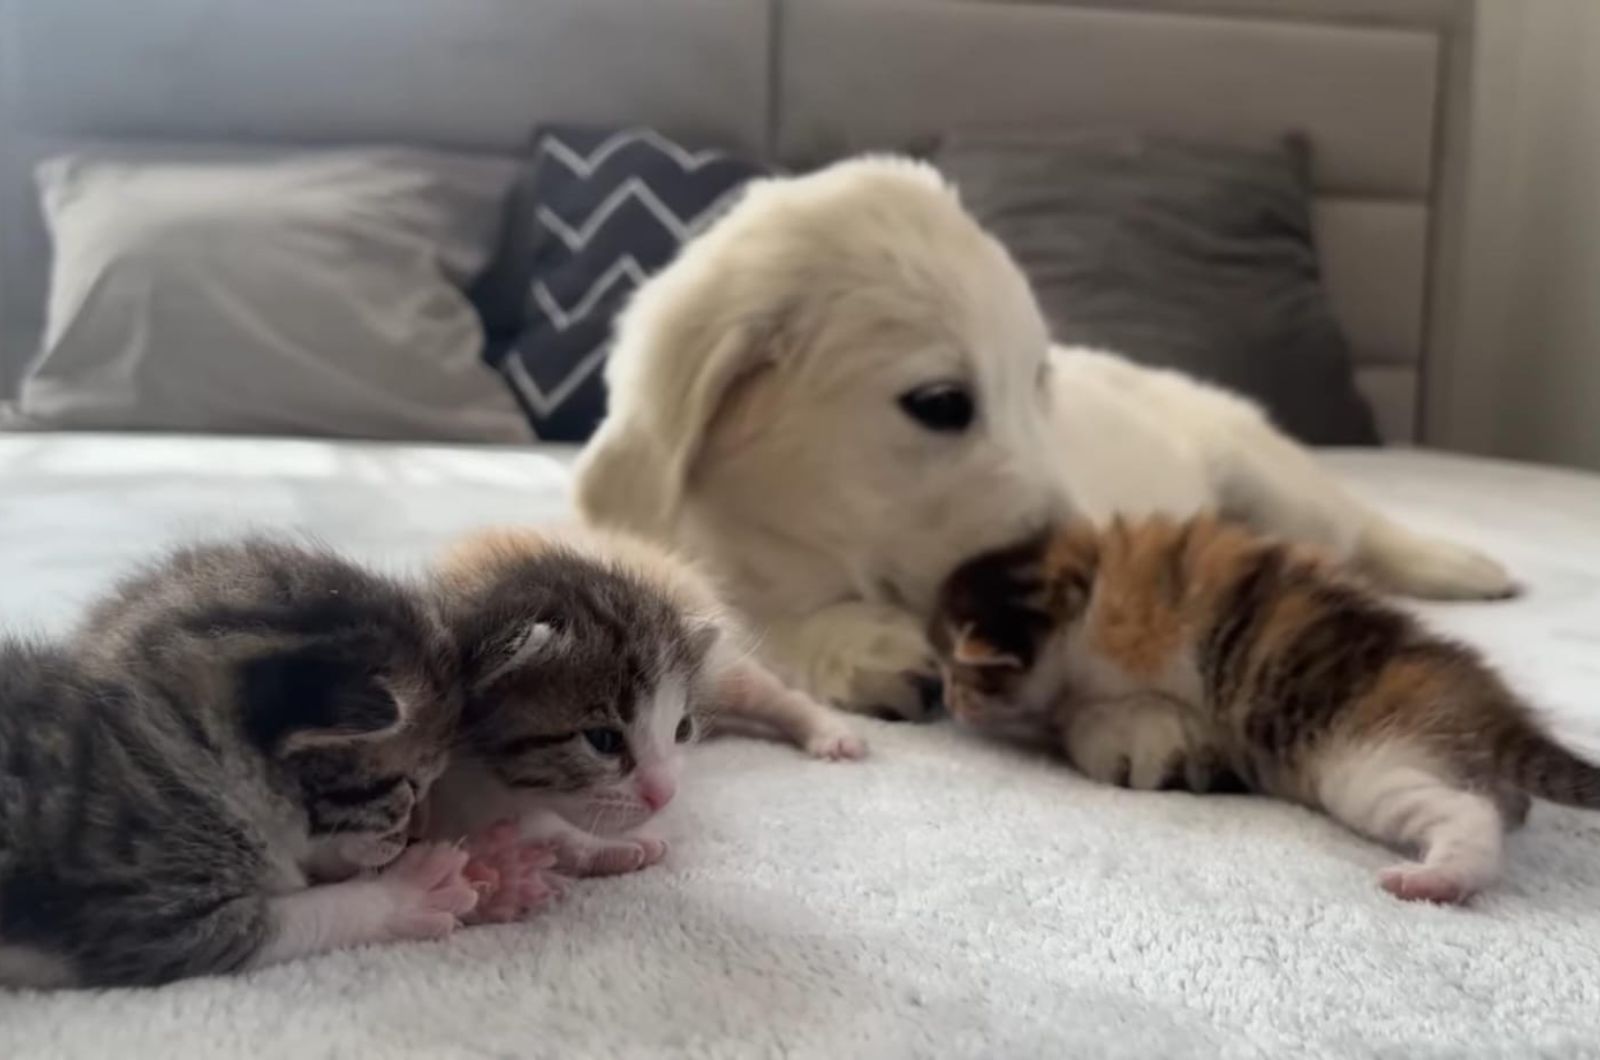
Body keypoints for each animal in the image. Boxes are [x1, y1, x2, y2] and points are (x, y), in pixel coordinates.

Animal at [572, 153, 1510, 730]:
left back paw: (1460, 564)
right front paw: (856, 642)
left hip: (1270, 475)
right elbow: (736, 613)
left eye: (1036, 385)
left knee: (1363, 531)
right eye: (942, 403)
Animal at [934, 515, 1593, 903]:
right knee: (1497, 806)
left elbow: (1089, 706)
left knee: (1466, 813)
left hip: (1369, 765)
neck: (1079, 584)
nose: (946, 700)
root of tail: (1496, 716)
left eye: (958, 674)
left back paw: (1436, 878)